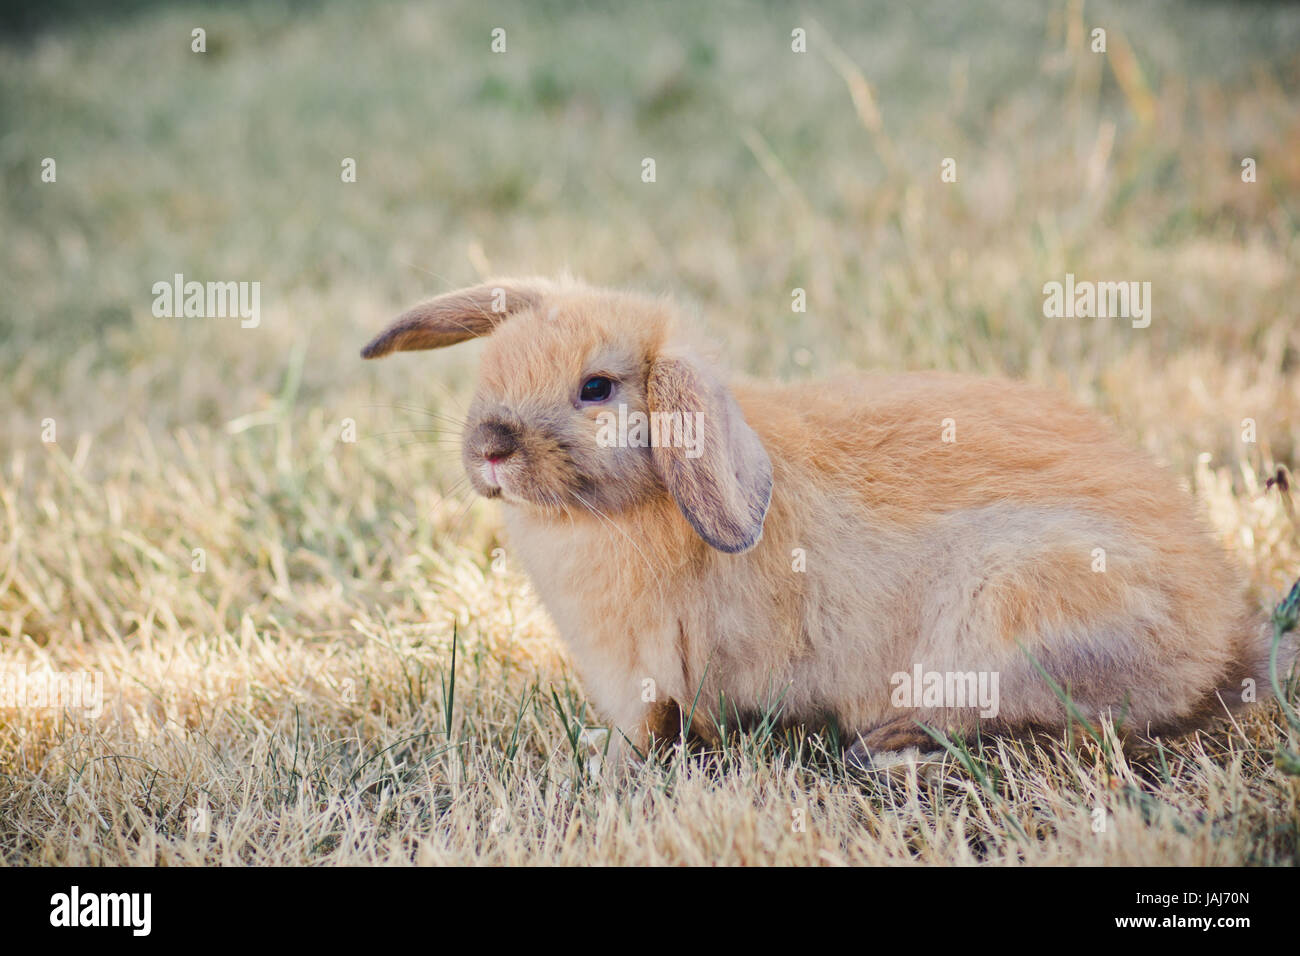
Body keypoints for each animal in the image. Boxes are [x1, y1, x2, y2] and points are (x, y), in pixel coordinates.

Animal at [361, 275, 1279, 764]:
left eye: (597, 388)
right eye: (491, 364)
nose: (489, 447)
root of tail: (1223, 645)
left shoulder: (647, 672)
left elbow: (649, 729)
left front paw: (607, 761)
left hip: (1009, 608)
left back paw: (891, 744)